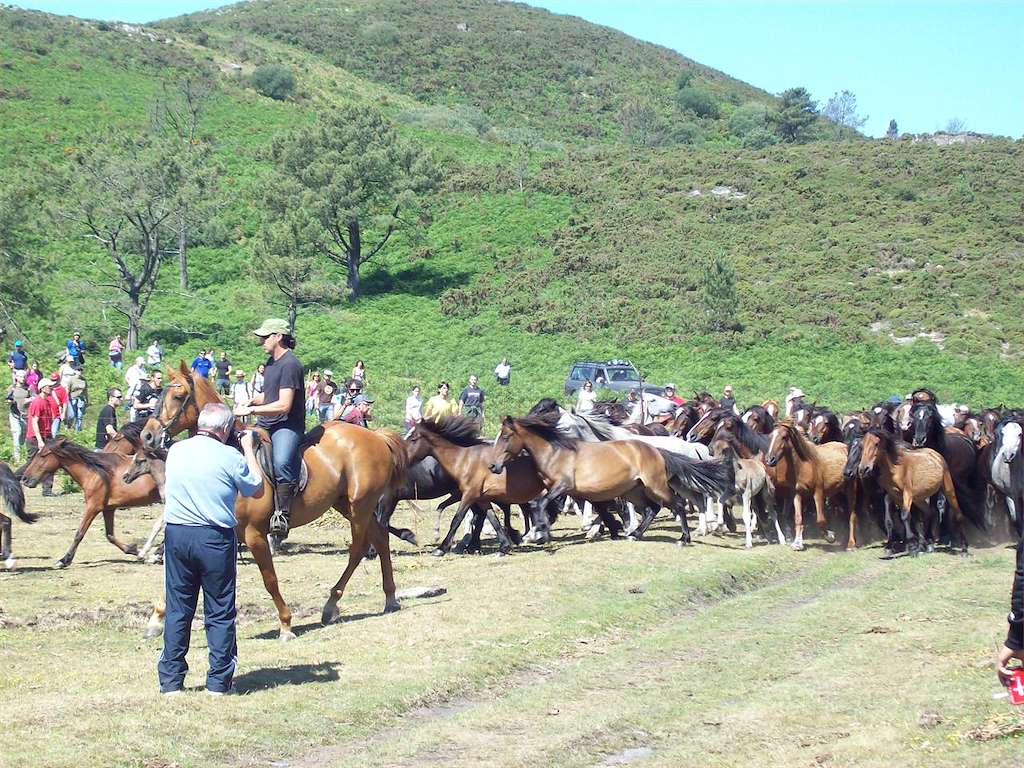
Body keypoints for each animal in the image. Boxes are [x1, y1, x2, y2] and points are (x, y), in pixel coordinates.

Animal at [20, 436, 161, 569]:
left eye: (43, 455)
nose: (25, 479)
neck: (96, 473)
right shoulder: (108, 509)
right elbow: (110, 535)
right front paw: (137, 552)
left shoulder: (93, 507)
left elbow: (79, 533)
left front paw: (64, 560)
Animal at [407, 417, 552, 557]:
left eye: (413, 438)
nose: (403, 457)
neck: (464, 461)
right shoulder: (482, 498)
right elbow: (493, 520)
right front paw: (503, 547)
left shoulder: (468, 495)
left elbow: (457, 519)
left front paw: (441, 548)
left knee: (534, 508)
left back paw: (535, 535)